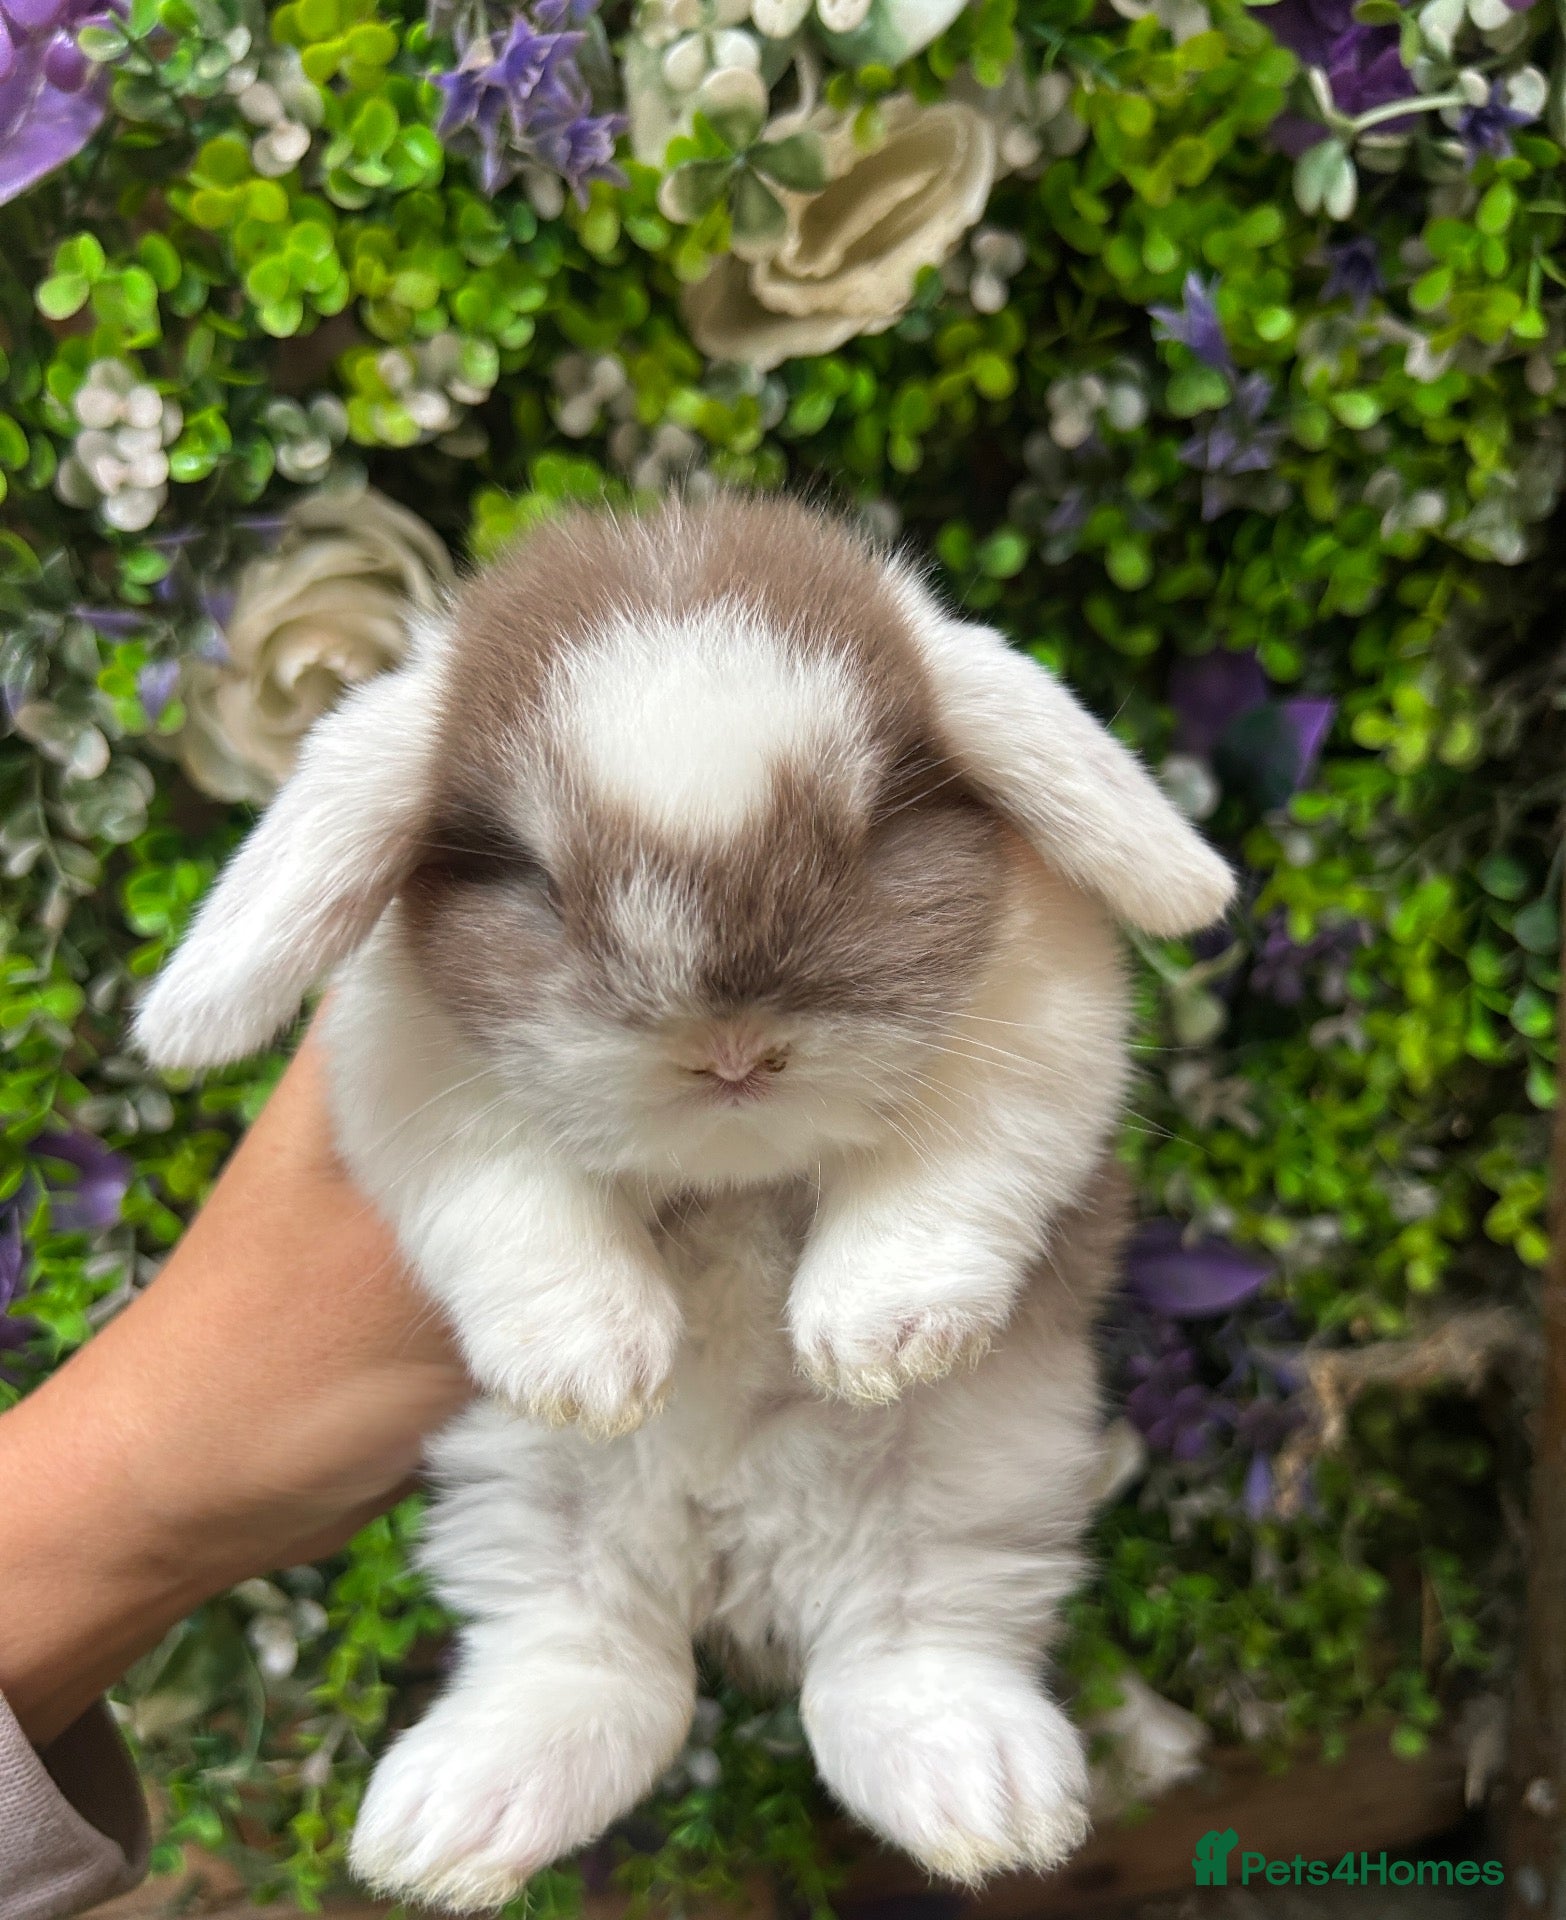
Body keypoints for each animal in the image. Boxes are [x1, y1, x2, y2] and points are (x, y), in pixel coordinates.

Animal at [136, 494, 1233, 1911]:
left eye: (869, 834)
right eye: (535, 878)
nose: (731, 1048)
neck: (736, 1171)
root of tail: (736, 1551)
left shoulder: (1042, 1032)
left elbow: (941, 1170)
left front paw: (873, 1337)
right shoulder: (416, 1094)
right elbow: (520, 1204)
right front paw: (593, 1364)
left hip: (976, 1486)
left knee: (904, 1652)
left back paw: (978, 1796)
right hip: (527, 1502)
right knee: (601, 1669)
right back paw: (452, 1827)